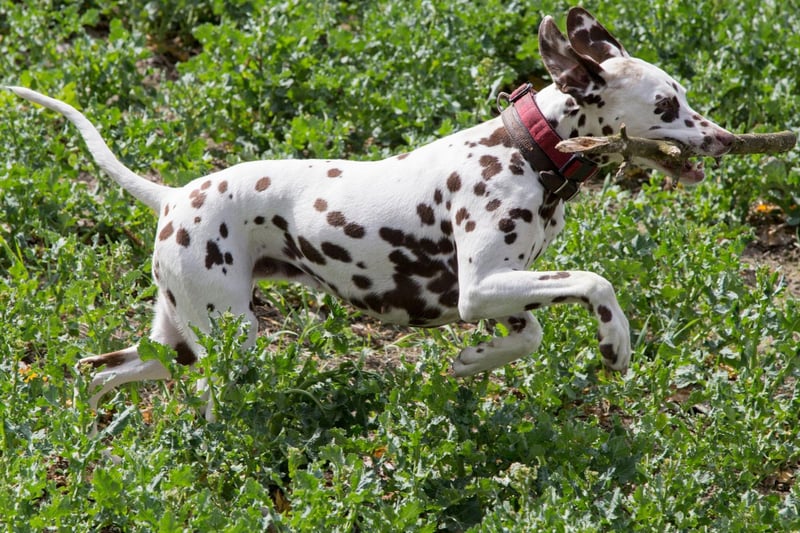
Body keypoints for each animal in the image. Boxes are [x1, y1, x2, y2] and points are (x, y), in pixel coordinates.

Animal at [7, 8, 732, 426]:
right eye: (667, 105)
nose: (725, 138)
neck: (525, 150)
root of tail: (170, 195)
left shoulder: (498, 294)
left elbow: (526, 335)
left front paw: (471, 363)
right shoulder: (481, 288)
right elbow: (595, 280)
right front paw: (616, 341)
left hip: (177, 341)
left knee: (100, 372)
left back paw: (88, 432)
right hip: (228, 340)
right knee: (205, 406)